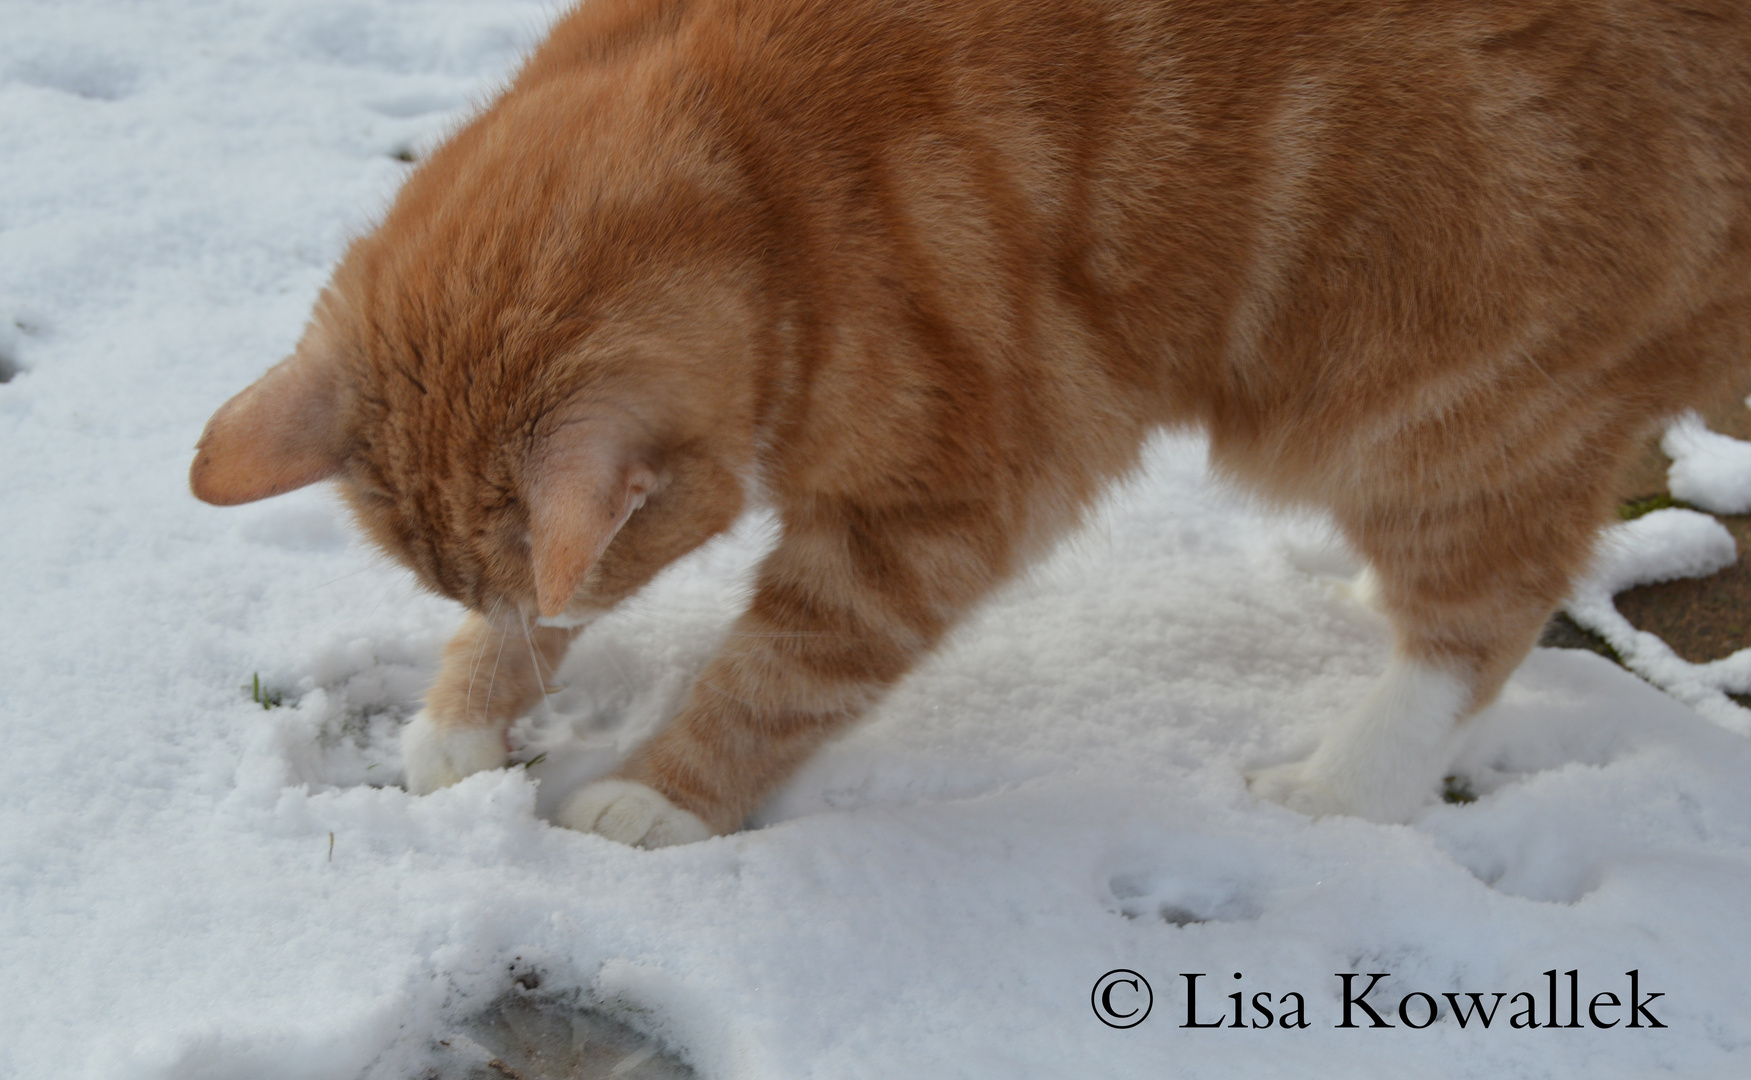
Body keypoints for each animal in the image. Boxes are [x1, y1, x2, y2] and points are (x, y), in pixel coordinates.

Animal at [188, 0, 1751, 843]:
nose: (508, 642)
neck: (762, 175)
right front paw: (461, 718)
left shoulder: (934, 508)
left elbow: (780, 670)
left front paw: (662, 798)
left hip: (1446, 401)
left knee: (1475, 621)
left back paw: (1340, 786)